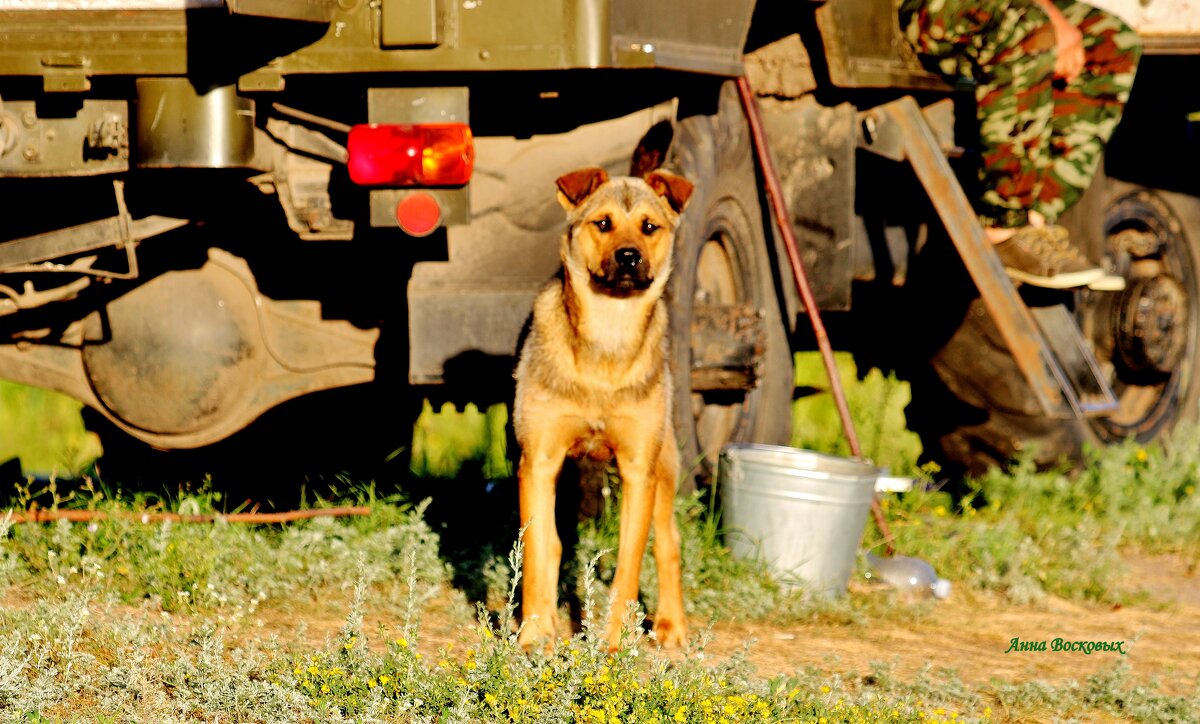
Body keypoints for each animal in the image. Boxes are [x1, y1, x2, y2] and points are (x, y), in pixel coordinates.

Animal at [513, 165, 696, 653]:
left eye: (649, 227)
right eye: (603, 223)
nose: (629, 257)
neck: (607, 341)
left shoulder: (638, 468)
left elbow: (630, 562)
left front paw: (613, 642)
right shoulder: (538, 460)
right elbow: (538, 551)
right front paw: (534, 633)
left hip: (665, 462)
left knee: (668, 541)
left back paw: (672, 625)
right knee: (554, 544)